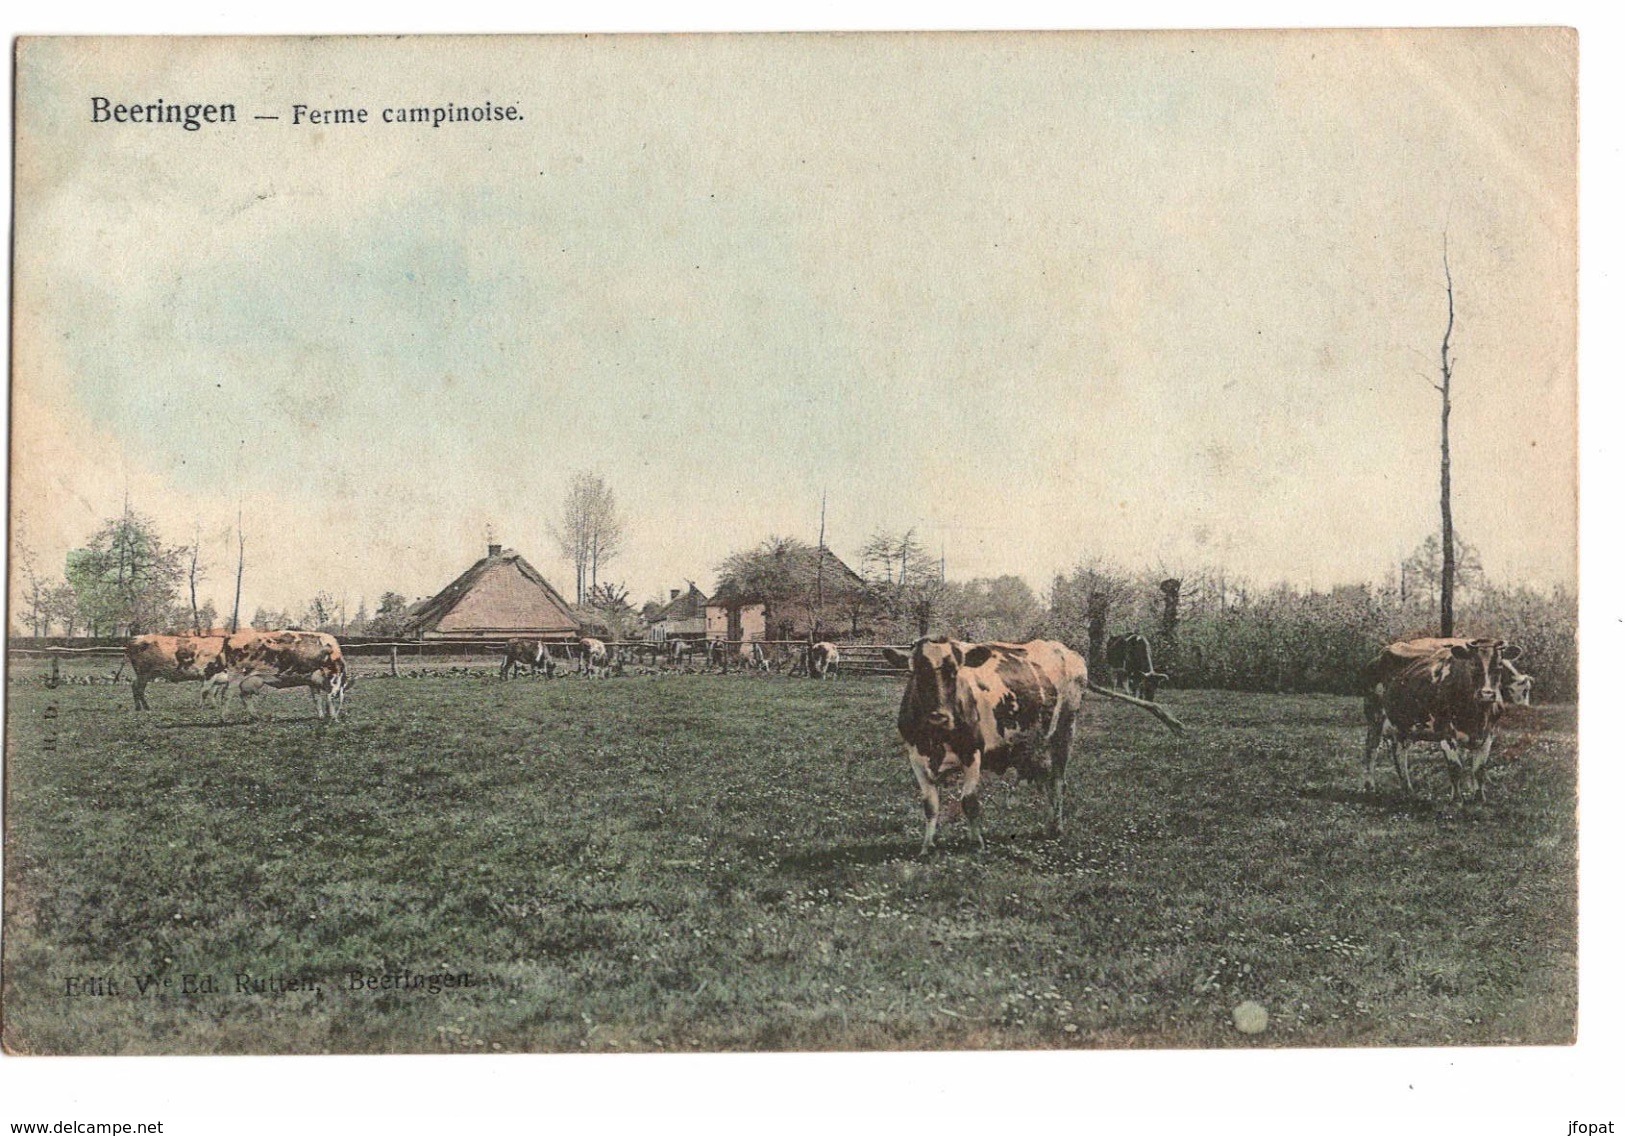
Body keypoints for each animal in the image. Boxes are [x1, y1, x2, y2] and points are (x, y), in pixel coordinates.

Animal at [221, 630, 351, 718]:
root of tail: (231, 637)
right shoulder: (332, 678)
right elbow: (329, 697)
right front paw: (332, 716)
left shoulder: (312, 681)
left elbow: (317, 699)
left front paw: (322, 716)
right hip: (235, 675)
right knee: (226, 694)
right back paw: (224, 718)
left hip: (249, 680)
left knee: (244, 696)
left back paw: (256, 717)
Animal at [884, 640, 1189, 851]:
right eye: (916, 671)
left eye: (954, 672)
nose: (939, 715)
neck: (936, 736)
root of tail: (1067, 651)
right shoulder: (915, 754)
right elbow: (930, 804)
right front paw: (927, 847)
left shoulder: (973, 752)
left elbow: (969, 801)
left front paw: (977, 844)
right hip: (1033, 746)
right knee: (1045, 779)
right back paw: (1049, 824)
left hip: (1065, 729)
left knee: (1058, 781)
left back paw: (1057, 827)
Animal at [1358, 637, 1521, 802]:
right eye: (1474, 664)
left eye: (1499, 665)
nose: (1487, 694)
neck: (1477, 716)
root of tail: (1382, 652)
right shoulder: (1445, 731)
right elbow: (1455, 767)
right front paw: (1457, 801)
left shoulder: (1488, 733)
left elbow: (1479, 769)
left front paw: (1479, 799)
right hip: (1375, 716)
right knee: (1371, 749)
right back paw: (1369, 788)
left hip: (1403, 724)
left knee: (1399, 753)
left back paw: (1408, 791)